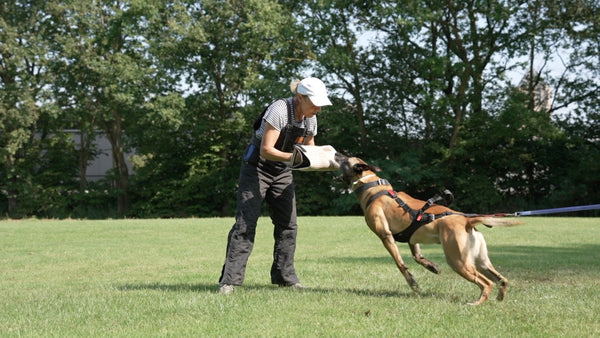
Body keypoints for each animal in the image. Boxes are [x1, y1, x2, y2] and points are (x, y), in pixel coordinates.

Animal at [338, 154, 520, 304]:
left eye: (344, 159)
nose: (336, 154)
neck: (371, 186)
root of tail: (467, 220)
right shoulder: (411, 237)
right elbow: (417, 257)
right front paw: (431, 267)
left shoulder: (386, 236)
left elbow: (400, 263)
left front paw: (412, 283)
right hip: (481, 262)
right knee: (502, 280)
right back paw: (500, 297)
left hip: (459, 262)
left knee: (487, 283)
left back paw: (477, 303)